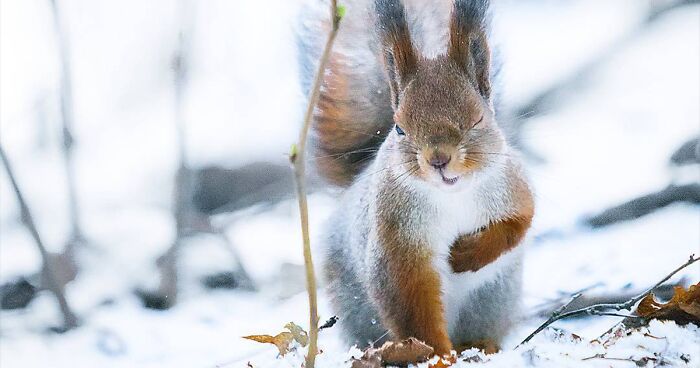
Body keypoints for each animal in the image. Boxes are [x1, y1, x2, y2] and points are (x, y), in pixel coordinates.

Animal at [298, 0, 532, 356]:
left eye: (478, 119)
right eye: (399, 128)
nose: (438, 159)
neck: (452, 195)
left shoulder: (512, 186)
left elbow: (518, 223)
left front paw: (465, 255)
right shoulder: (396, 238)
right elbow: (411, 302)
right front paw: (436, 355)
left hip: (491, 300)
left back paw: (480, 346)